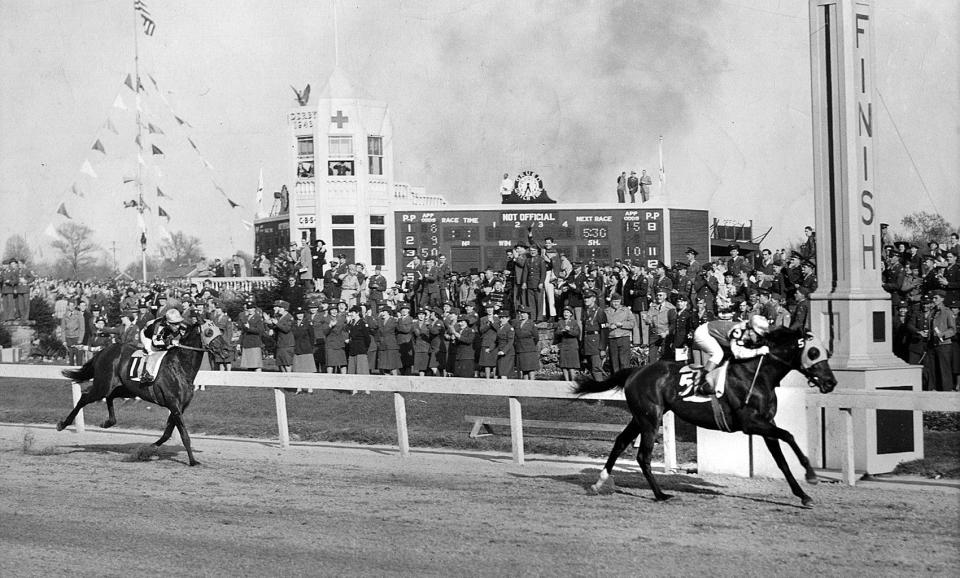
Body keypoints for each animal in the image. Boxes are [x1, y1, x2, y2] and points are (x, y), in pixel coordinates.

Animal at [57, 322, 211, 466]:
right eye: (210, 332)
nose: (222, 349)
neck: (180, 366)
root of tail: (104, 350)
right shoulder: (174, 405)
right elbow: (184, 435)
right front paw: (192, 461)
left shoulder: (179, 407)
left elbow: (167, 433)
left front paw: (146, 451)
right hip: (103, 385)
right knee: (85, 397)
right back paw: (63, 424)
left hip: (126, 389)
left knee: (109, 397)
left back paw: (108, 422)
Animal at [572, 328, 836, 504]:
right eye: (814, 352)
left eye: (827, 352)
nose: (831, 382)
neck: (757, 374)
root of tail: (636, 371)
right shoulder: (751, 423)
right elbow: (789, 435)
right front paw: (811, 474)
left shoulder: (766, 424)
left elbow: (782, 461)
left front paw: (803, 495)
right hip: (650, 419)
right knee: (642, 456)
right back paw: (660, 495)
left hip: (641, 417)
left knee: (620, 442)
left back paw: (599, 483)